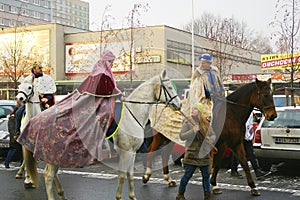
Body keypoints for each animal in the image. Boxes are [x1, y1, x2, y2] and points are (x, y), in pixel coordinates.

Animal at [20, 69, 180, 199]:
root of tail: (35, 120)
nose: (179, 105)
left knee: (52, 175)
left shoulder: (132, 152)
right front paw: (119, 197)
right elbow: (122, 176)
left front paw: (133, 196)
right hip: (53, 152)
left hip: (55, 156)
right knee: (48, 176)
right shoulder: (125, 152)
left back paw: (62, 194)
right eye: (169, 87)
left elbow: (130, 175)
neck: (132, 114)